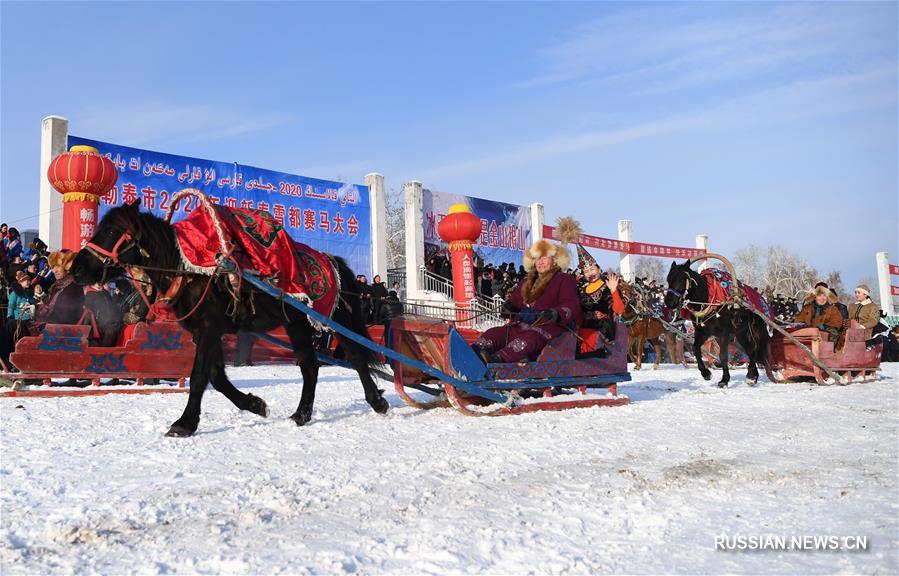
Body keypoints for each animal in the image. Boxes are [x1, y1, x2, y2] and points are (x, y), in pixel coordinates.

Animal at [71, 202, 390, 436]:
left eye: (111, 232)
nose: (76, 268)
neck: (189, 269)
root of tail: (331, 261)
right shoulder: (206, 332)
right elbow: (217, 376)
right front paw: (255, 404)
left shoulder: (209, 329)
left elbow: (200, 376)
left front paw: (184, 423)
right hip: (296, 323)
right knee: (310, 367)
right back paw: (301, 414)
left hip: (334, 318)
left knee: (356, 356)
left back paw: (377, 401)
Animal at [664, 260, 768, 388]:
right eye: (668, 279)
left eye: (682, 280)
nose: (669, 302)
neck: (708, 300)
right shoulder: (702, 332)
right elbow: (696, 349)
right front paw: (706, 373)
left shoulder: (723, 333)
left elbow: (723, 356)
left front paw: (724, 380)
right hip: (739, 334)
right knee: (749, 349)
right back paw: (753, 375)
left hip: (747, 330)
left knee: (752, 349)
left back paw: (751, 376)